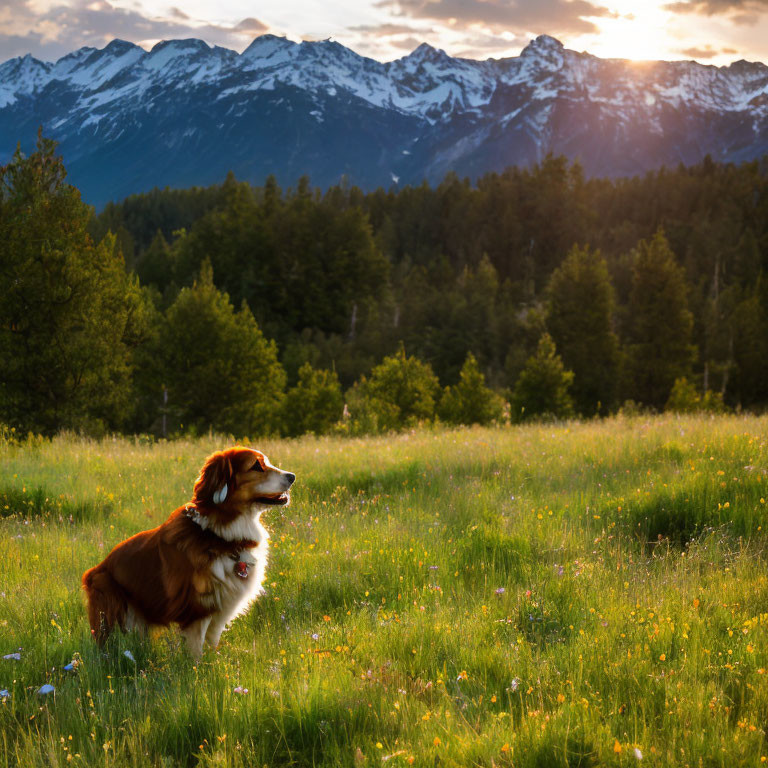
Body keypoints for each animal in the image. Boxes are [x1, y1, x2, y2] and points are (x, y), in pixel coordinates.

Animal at [80, 448, 292, 656]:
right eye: (256, 465)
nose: (292, 476)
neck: (219, 535)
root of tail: (93, 571)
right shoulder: (196, 613)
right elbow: (196, 654)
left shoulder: (219, 613)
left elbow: (211, 648)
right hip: (114, 616)